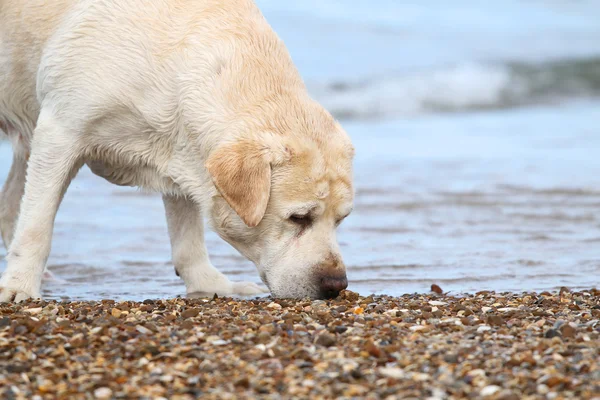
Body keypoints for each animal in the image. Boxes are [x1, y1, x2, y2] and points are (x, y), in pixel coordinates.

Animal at [0, 0, 354, 300]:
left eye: (341, 220)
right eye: (299, 218)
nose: (336, 285)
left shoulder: (180, 153)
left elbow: (188, 237)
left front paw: (209, 284)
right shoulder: (59, 132)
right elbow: (36, 226)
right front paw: (19, 287)